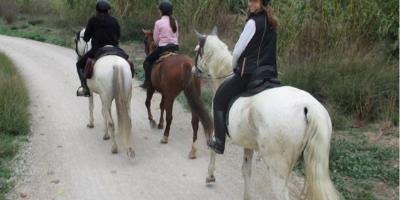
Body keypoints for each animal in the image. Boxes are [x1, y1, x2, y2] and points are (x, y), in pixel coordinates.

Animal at [75, 28, 136, 159]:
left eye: (76, 40)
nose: (77, 56)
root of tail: (116, 65)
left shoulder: (92, 92)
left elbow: (92, 107)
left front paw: (92, 125)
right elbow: (104, 112)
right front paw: (105, 132)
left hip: (106, 97)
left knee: (111, 122)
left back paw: (114, 148)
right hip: (127, 97)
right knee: (128, 120)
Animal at [143, 29, 214, 159]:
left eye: (145, 40)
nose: (146, 50)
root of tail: (186, 63)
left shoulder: (152, 88)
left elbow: (148, 103)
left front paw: (152, 121)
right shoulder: (164, 93)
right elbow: (161, 106)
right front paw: (160, 123)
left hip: (170, 95)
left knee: (170, 117)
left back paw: (165, 137)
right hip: (193, 95)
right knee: (195, 121)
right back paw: (193, 149)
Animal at [195, 30, 340, 198]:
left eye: (197, 50)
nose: (193, 71)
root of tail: (308, 107)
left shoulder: (218, 130)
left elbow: (214, 150)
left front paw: (210, 176)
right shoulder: (248, 143)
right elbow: (246, 170)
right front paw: (247, 197)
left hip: (277, 168)